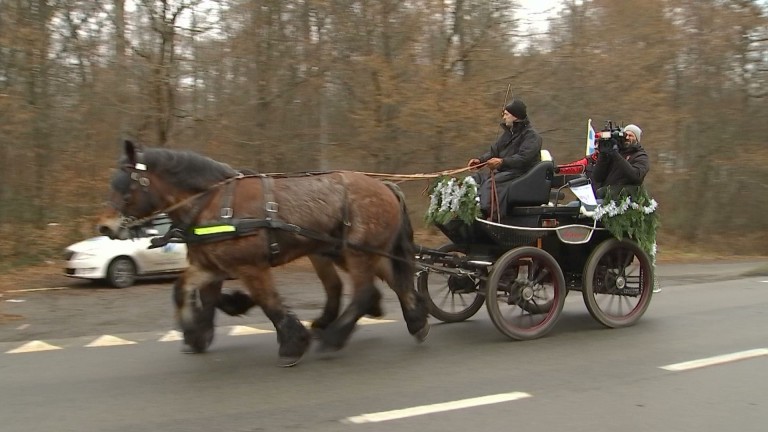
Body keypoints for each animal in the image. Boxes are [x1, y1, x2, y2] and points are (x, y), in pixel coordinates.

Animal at [97, 140, 428, 366]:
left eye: (125, 185)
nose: (105, 226)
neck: (213, 202)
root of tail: (385, 186)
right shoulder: (210, 265)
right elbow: (184, 290)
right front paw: (195, 332)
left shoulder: (250, 266)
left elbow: (269, 302)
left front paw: (293, 344)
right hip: (364, 252)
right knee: (395, 283)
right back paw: (416, 321)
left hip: (357, 253)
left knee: (363, 292)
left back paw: (334, 337)